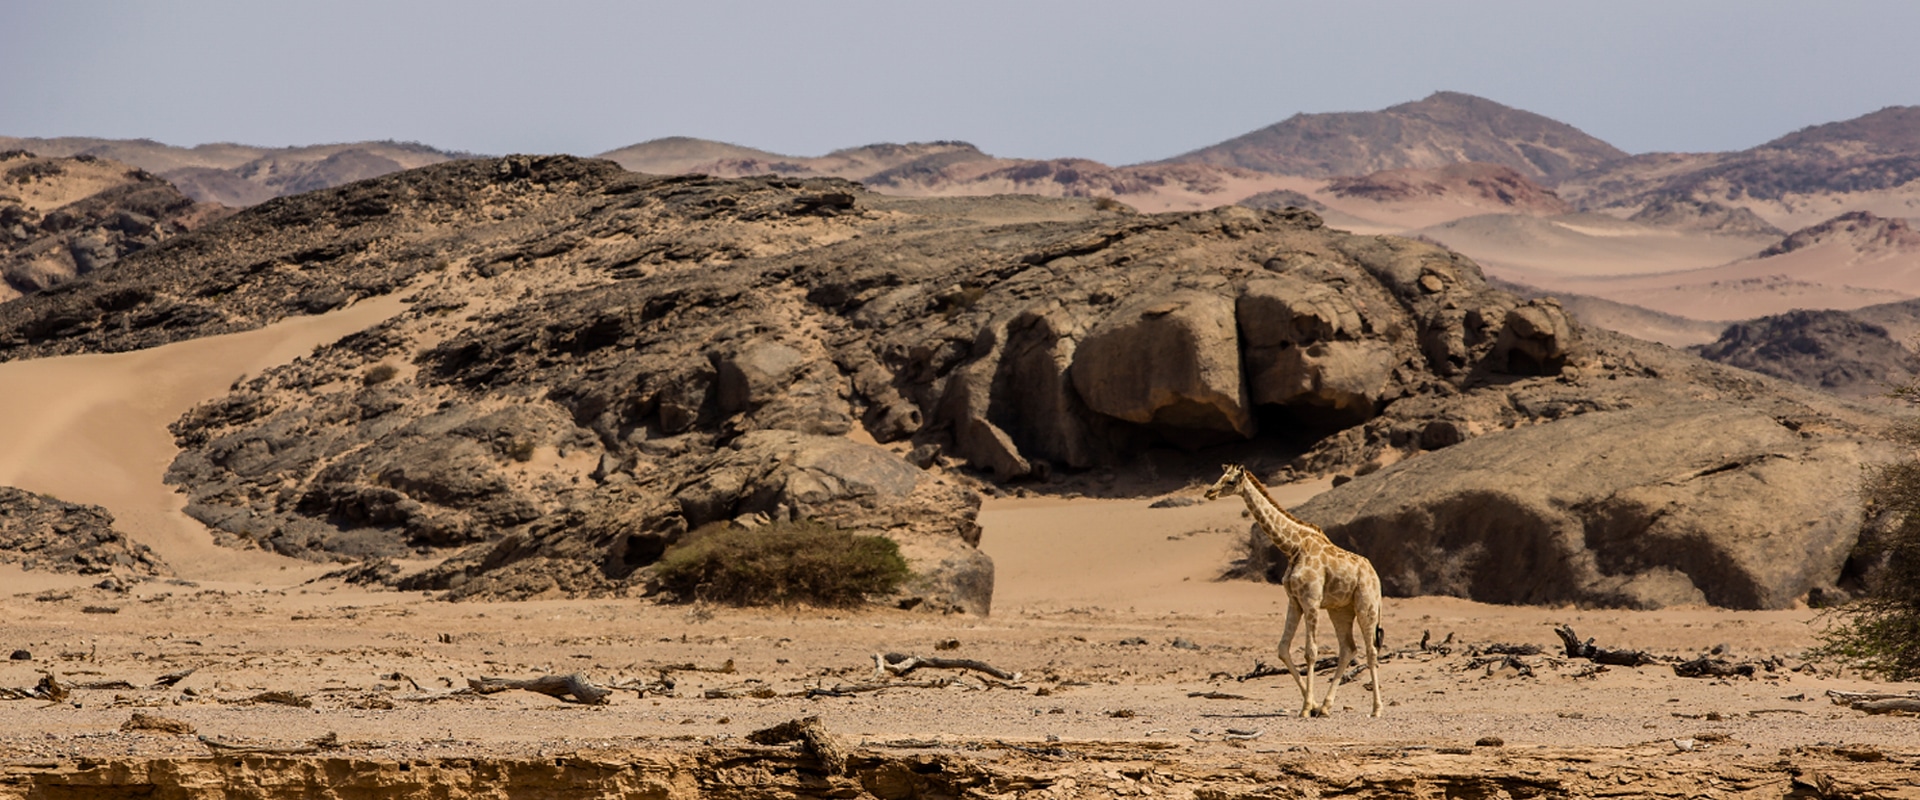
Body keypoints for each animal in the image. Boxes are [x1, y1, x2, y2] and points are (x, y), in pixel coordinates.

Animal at [1198, 464, 1382, 713]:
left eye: (1231, 481)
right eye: (1221, 476)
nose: (1210, 492)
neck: (1293, 547)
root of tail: (1375, 575)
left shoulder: (1311, 600)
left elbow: (1311, 652)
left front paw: (1306, 708)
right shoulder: (1294, 600)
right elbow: (1283, 648)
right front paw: (1312, 704)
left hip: (1366, 605)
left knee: (1371, 651)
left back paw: (1376, 709)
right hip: (1340, 610)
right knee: (1348, 649)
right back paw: (1326, 707)